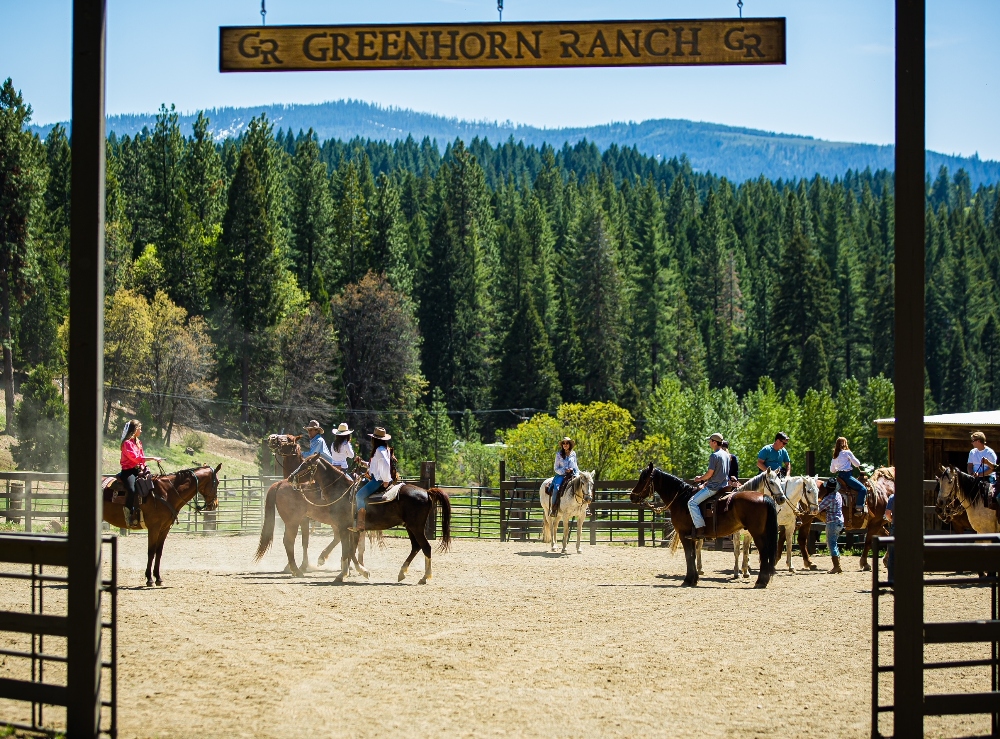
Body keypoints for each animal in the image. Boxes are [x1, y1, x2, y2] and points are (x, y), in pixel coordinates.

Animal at [624, 462, 780, 588]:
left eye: (644, 478)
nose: (632, 496)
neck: (682, 499)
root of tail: (764, 497)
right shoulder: (692, 536)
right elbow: (693, 555)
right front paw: (694, 579)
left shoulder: (684, 534)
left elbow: (688, 555)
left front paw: (688, 580)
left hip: (757, 533)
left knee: (764, 552)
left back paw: (760, 581)